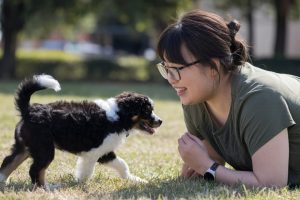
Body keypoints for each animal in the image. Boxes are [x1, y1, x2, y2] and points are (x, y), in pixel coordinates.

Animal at [0, 75, 162, 189]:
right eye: (147, 111)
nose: (160, 121)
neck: (119, 116)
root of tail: (29, 110)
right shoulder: (94, 152)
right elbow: (86, 172)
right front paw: (79, 184)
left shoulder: (105, 152)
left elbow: (122, 165)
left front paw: (136, 180)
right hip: (44, 149)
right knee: (35, 170)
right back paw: (47, 188)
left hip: (26, 146)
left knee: (9, 161)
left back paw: (3, 182)